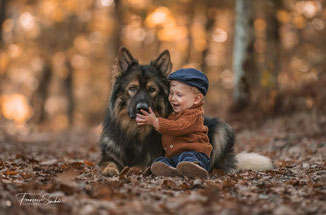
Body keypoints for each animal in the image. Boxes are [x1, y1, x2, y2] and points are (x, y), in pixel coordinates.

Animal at [99, 47, 272, 176]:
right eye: (133, 88)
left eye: (152, 90)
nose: (141, 107)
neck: (135, 132)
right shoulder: (109, 155)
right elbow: (107, 163)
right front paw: (111, 169)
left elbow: (143, 164)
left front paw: (135, 168)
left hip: (221, 129)